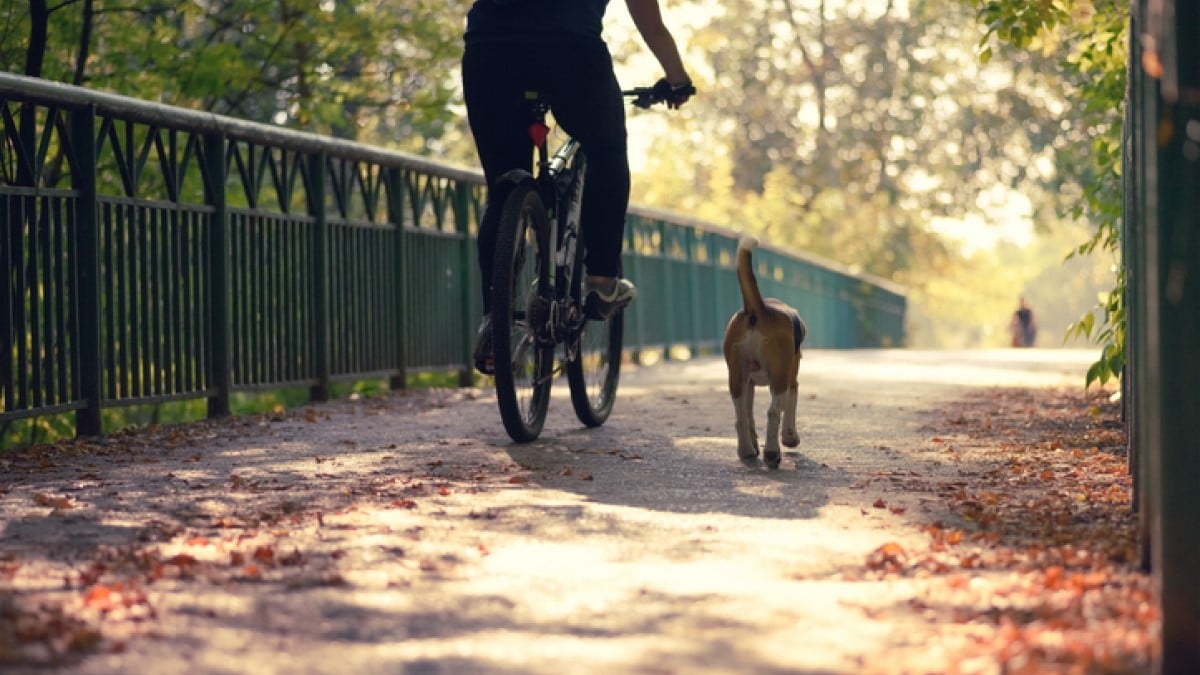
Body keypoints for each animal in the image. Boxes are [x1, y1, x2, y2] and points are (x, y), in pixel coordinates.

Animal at [720, 234, 806, 466]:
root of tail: (757, 308)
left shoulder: (748, 383)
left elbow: (749, 416)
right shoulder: (791, 380)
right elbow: (789, 408)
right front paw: (790, 438)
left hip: (736, 376)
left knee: (740, 418)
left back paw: (746, 451)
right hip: (779, 376)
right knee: (773, 412)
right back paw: (772, 453)